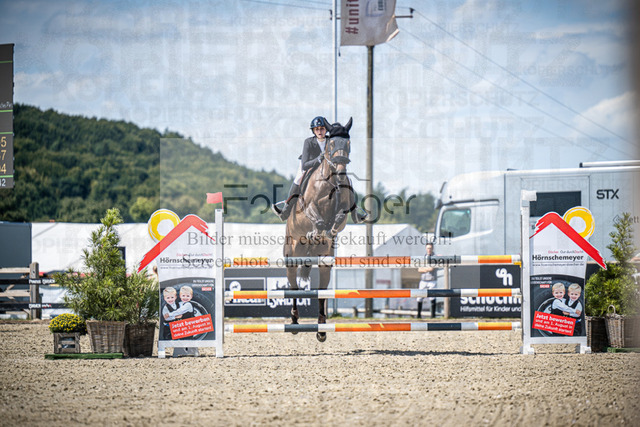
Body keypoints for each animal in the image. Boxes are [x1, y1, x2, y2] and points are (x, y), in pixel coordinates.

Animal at [284, 118, 357, 342]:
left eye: (348, 144)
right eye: (332, 144)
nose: (341, 174)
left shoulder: (343, 212)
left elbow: (338, 219)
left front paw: (328, 233)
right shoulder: (309, 207)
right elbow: (318, 219)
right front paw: (315, 232)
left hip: (324, 263)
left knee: (322, 292)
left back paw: (322, 329)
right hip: (291, 256)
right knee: (293, 287)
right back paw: (294, 321)